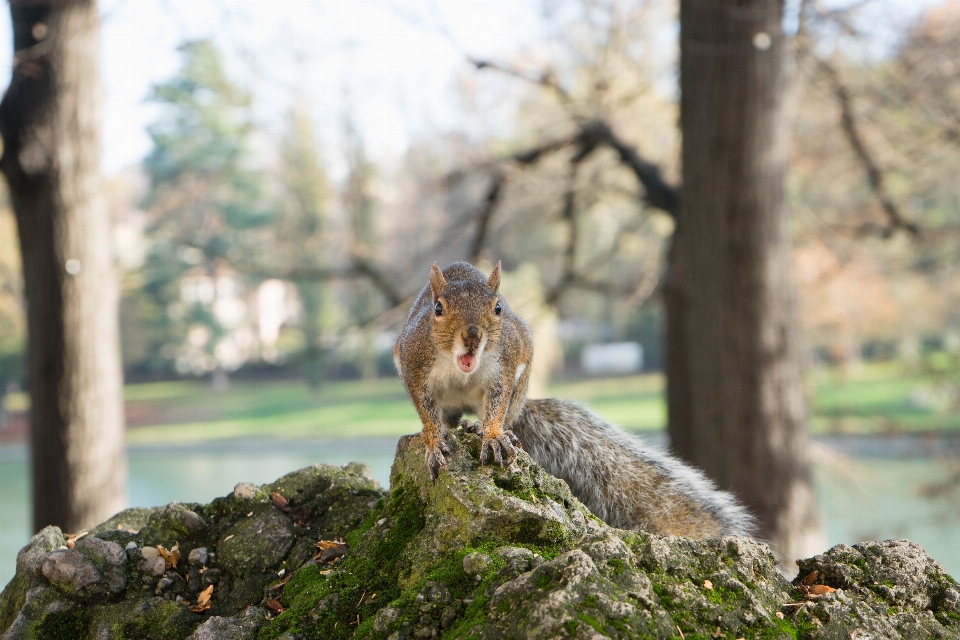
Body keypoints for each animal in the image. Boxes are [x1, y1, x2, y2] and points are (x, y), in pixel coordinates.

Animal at [394, 260, 752, 540]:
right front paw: (432, 441)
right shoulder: (413, 365)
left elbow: (496, 403)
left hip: (520, 386)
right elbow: (425, 409)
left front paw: (493, 435)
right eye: (438, 308)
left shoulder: (505, 368)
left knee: (504, 413)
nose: (472, 335)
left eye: (497, 308)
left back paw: (483, 429)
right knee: (448, 418)